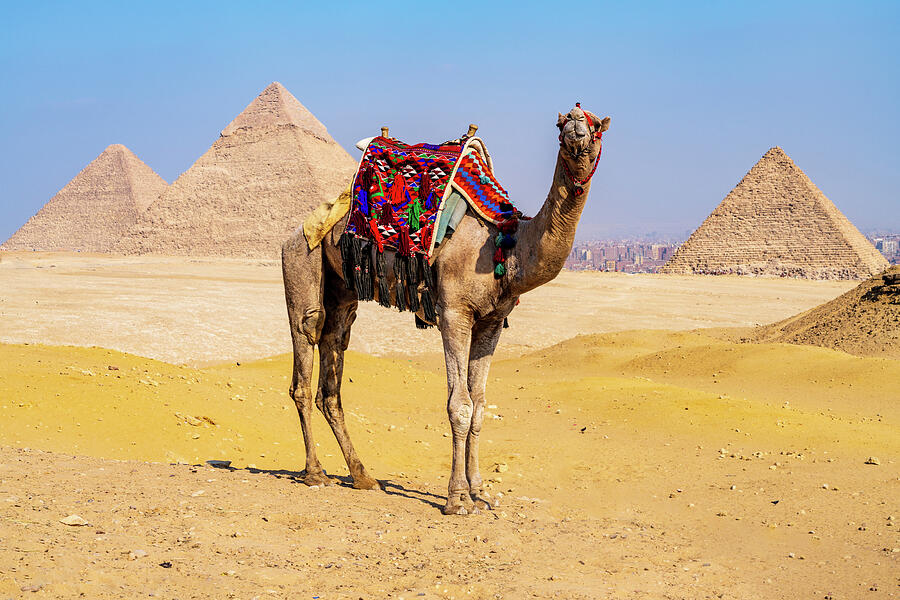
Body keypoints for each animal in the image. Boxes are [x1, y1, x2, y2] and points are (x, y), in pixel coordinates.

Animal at [281, 105, 610, 514]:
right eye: (561, 122)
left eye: (596, 125)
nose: (576, 129)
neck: (506, 246)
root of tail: (300, 228)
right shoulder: (453, 313)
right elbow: (460, 405)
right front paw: (457, 498)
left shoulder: (491, 323)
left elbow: (480, 407)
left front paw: (480, 492)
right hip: (302, 259)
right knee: (306, 345)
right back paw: (315, 473)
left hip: (343, 291)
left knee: (332, 369)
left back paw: (363, 477)